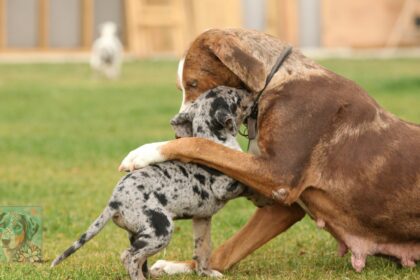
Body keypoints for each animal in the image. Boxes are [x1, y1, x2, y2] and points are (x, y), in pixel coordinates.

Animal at [51, 87, 270, 280]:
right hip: (161, 230)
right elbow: (246, 184)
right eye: (237, 96)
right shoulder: (225, 187)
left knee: (140, 260)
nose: (254, 92)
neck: (214, 139)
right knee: (129, 256)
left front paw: (206, 273)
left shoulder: (202, 219)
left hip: (140, 233)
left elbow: (202, 250)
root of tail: (114, 201)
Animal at [119, 28, 420, 274]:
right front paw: (183, 266)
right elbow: (229, 249)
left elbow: (201, 144)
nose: (177, 129)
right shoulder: (283, 207)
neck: (276, 82)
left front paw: (146, 152)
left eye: (193, 84)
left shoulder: (279, 175)